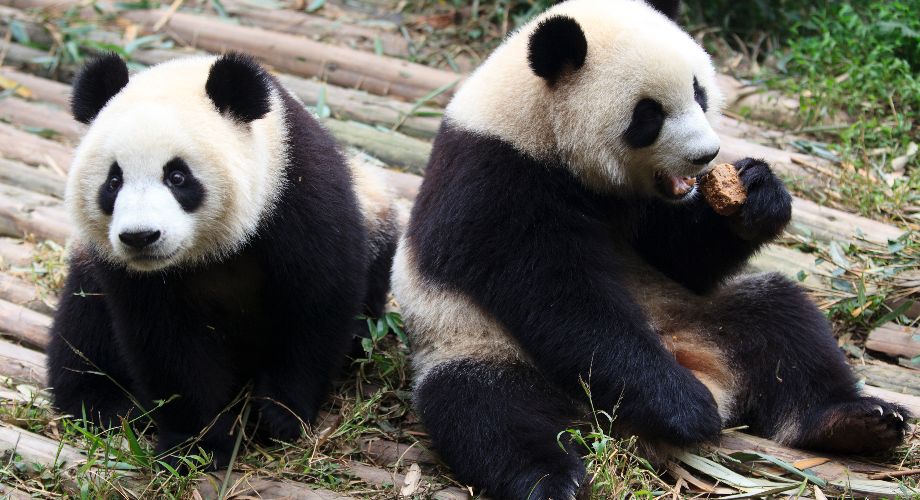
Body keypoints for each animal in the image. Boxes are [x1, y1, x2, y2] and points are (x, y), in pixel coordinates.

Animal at [48, 53, 398, 468]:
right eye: (113, 182)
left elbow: (315, 307)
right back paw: (107, 405)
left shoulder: (296, 193)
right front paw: (196, 445)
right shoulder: (135, 277)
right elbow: (168, 343)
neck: (211, 249)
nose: (140, 237)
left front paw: (278, 416)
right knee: (82, 326)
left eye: (178, 176)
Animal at [392, 0, 908, 498]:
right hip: (473, 342)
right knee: (487, 410)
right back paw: (552, 477)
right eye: (648, 114)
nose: (706, 155)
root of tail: (705, 367)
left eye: (699, 92)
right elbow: (561, 298)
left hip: (705, 314)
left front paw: (757, 195)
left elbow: (685, 260)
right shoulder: (495, 181)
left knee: (786, 325)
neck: (536, 124)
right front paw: (684, 407)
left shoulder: (647, 207)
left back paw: (856, 421)